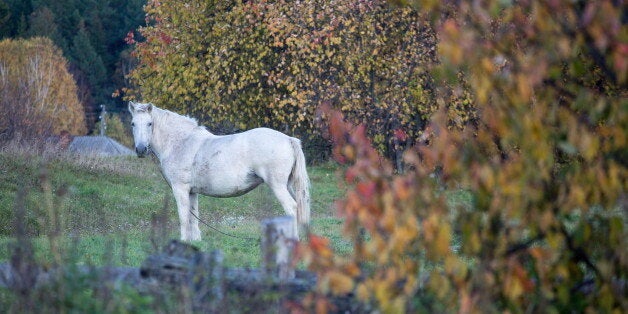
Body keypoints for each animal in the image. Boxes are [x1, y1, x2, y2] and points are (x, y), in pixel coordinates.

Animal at [129, 102, 310, 242]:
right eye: (133, 123)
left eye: (149, 123)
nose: (140, 149)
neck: (180, 142)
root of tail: (288, 139)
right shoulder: (192, 192)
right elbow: (193, 216)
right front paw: (195, 241)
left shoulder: (180, 189)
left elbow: (183, 217)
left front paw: (183, 241)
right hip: (289, 186)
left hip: (278, 186)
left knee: (292, 208)